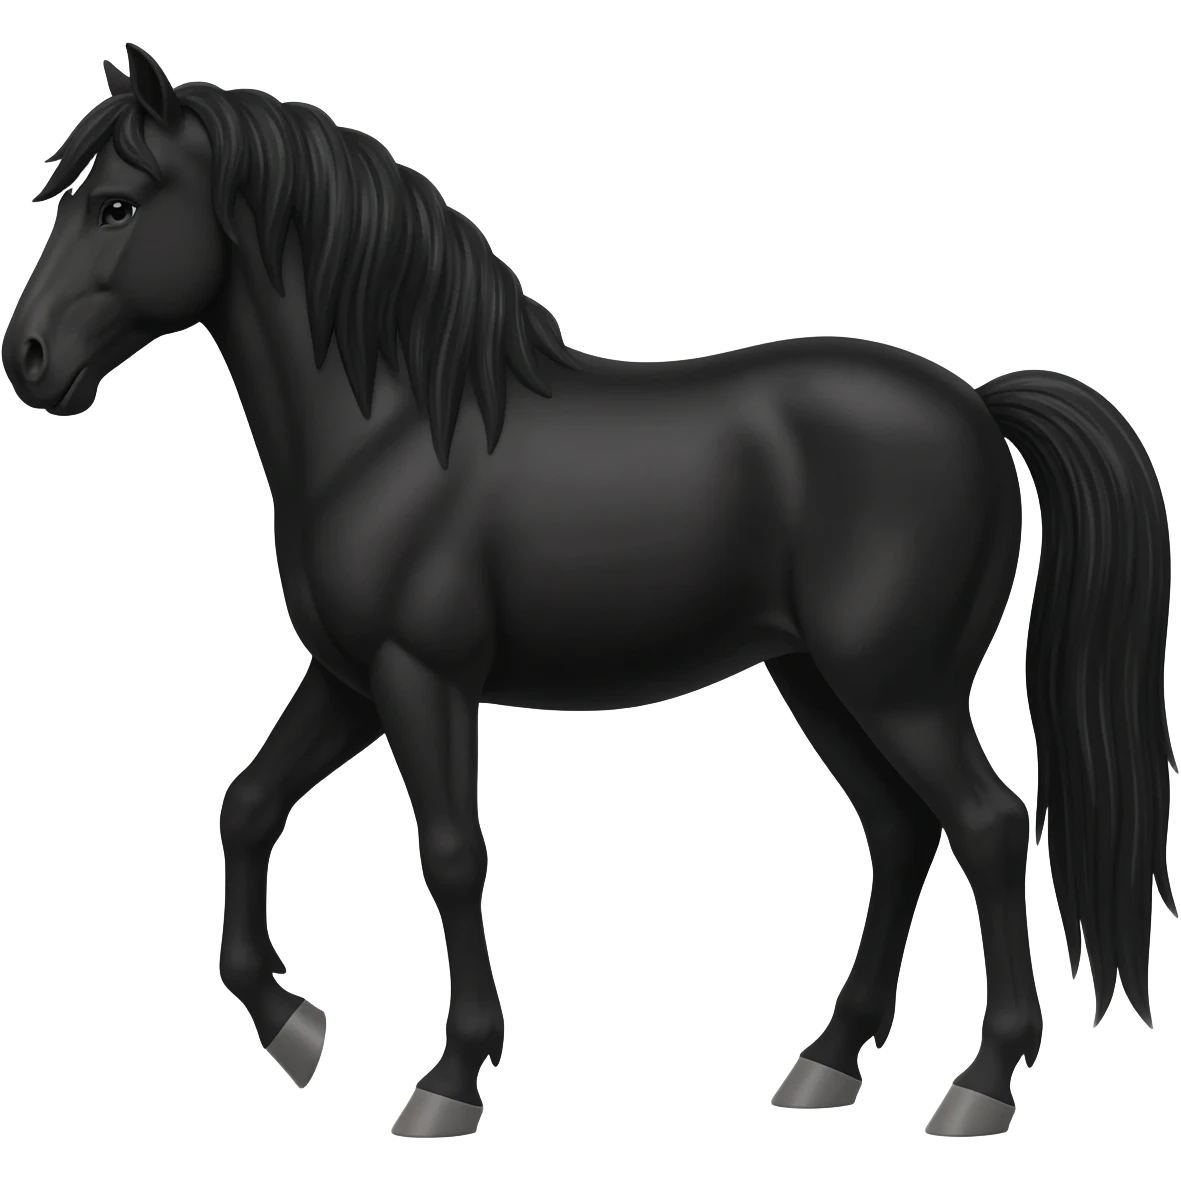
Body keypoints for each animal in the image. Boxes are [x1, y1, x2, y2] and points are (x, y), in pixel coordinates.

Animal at [3, 43, 1175, 1141]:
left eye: (117, 204)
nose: (29, 358)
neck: (395, 429)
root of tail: (975, 405)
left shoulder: (421, 676)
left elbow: (451, 854)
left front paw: (449, 1079)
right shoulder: (349, 679)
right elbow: (246, 804)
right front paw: (293, 1024)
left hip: (898, 685)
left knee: (987, 826)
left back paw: (978, 1083)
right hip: (818, 679)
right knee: (898, 830)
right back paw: (826, 1063)